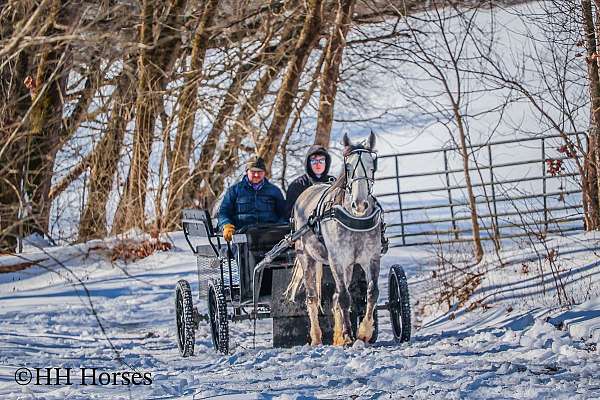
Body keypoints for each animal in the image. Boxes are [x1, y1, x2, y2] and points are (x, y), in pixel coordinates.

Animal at [284, 133, 380, 346]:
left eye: (372, 166)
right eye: (348, 168)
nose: (360, 204)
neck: (355, 219)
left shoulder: (371, 258)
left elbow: (372, 292)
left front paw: (364, 332)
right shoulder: (337, 259)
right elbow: (344, 297)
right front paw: (348, 336)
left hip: (349, 264)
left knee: (336, 296)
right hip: (306, 257)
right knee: (312, 298)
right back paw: (316, 337)